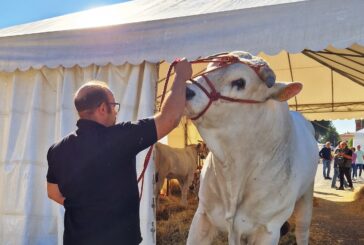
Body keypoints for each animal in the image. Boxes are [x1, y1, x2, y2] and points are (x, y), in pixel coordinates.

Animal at [185, 50, 318, 244]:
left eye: (240, 82)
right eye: (210, 67)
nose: (185, 90)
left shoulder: (269, 230)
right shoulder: (202, 215)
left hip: (307, 195)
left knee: (302, 229)